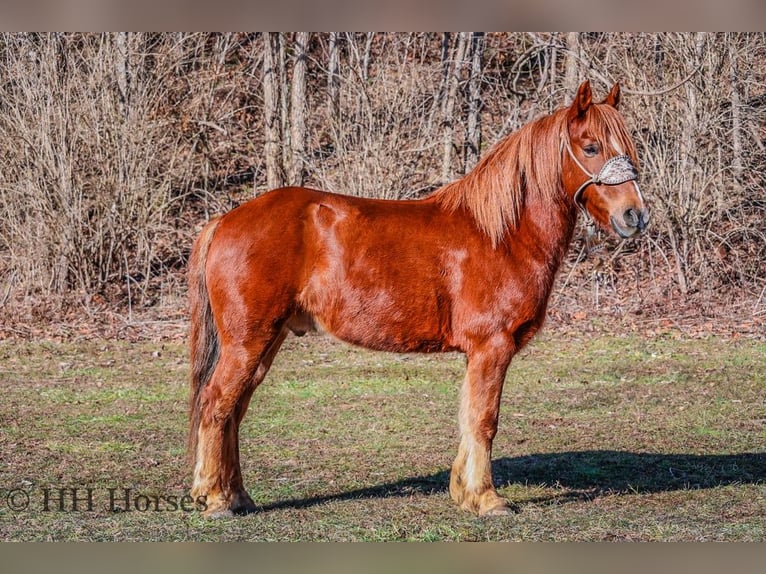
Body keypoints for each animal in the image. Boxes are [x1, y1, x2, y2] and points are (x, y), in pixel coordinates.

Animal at [186, 80, 648, 516]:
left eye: (628, 147)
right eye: (590, 147)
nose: (635, 215)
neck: (501, 234)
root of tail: (225, 220)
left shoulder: (478, 354)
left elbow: (469, 418)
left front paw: (464, 492)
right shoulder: (492, 347)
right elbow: (484, 420)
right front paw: (487, 499)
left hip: (265, 342)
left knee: (235, 410)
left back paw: (238, 496)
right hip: (248, 342)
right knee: (216, 404)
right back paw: (215, 498)